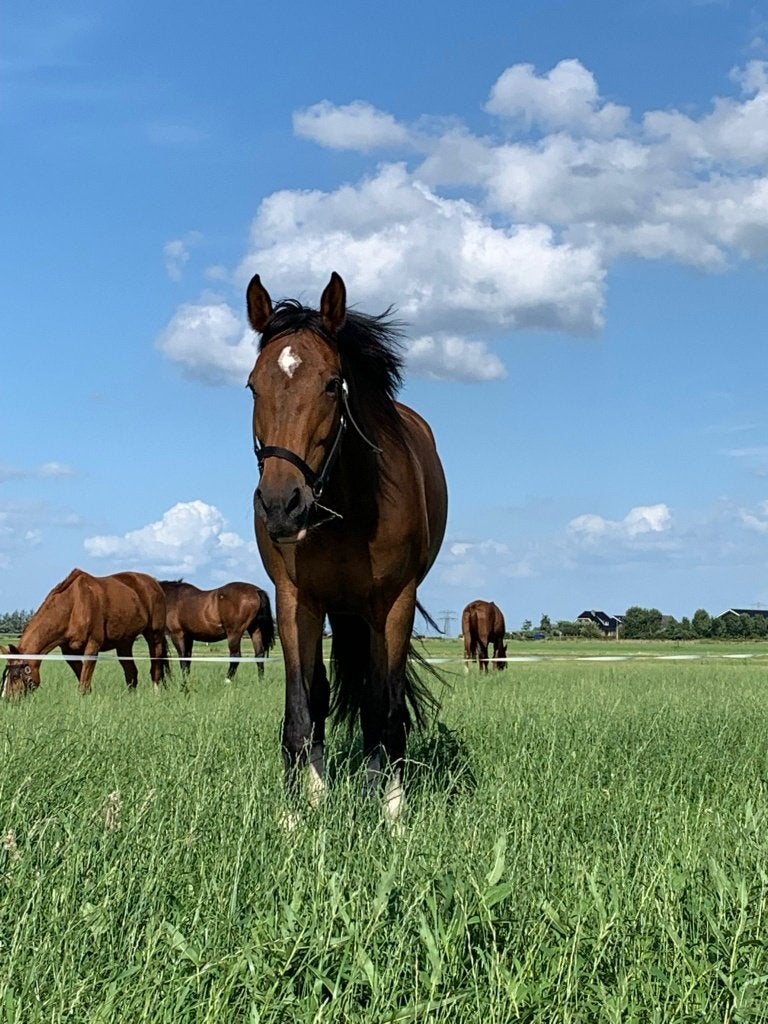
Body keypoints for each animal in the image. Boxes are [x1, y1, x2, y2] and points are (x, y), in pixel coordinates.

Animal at [0, 568, 170, 698]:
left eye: (15, 675)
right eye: (5, 675)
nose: (7, 699)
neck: (74, 606)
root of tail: (154, 583)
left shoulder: (92, 646)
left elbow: (84, 680)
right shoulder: (69, 652)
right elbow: (83, 679)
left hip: (154, 635)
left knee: (155, 667)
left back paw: (156, 694)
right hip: (124, 643)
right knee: (131, 672)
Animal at [245, 271, 448, 825]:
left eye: (332, 383)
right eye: (253, 385)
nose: (281, 504)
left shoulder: (394, 604)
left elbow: (388, 708)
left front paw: (393, 817)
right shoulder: (296, 601)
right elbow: (302, 710)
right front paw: (297, 816)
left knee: (377, 702)